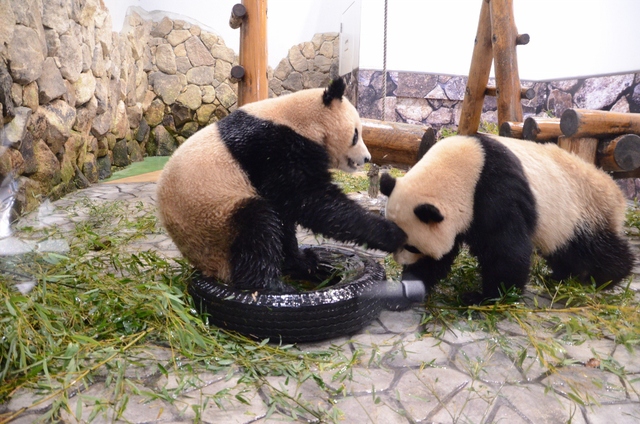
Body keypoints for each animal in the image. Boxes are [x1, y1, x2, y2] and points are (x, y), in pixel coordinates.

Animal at [156, 78, 404, 294]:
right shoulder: (272, 148)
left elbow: (288, 211)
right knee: (257, 230)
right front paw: (391, 233)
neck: (298, 118)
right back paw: (271, 286)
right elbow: (311, 201)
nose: (366, 158)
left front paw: (305, 261)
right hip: (216, 220)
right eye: (355, 134)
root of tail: (207, 267)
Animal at [380, 133, 636, 304]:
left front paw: (486, 297)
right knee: (566, 252)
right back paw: (562, 276)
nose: (401, 261)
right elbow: (444, 255)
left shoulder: (494, 190)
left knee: (591, 248)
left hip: (581, 212)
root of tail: (616, 194)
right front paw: (413, 282)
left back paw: (605, 278)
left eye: (412, 247)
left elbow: (505, 248)